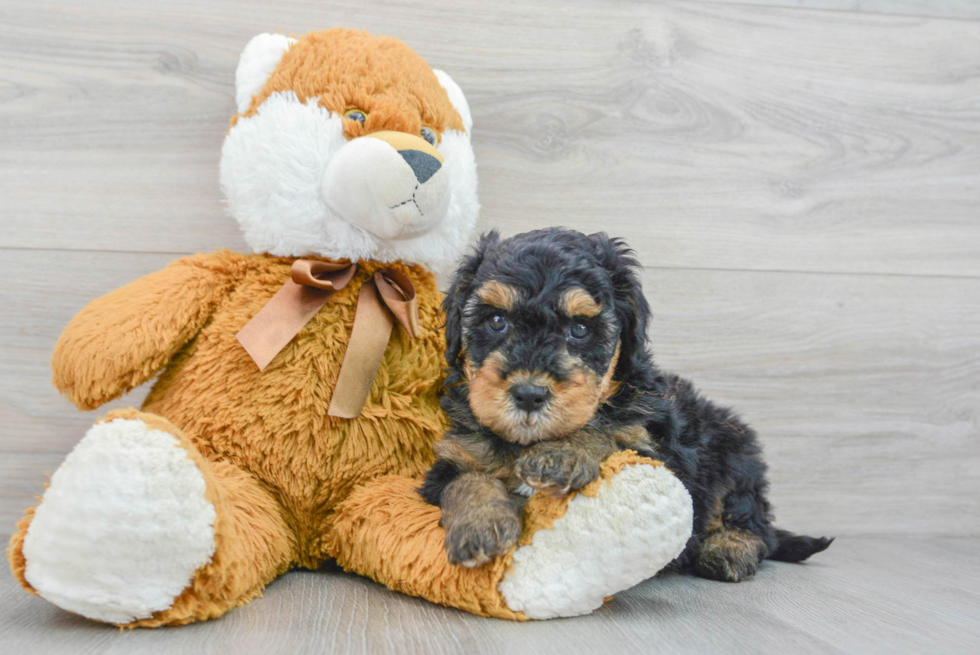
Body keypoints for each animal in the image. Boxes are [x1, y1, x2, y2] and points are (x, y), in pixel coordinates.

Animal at [422, 227, 836, 580]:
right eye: (496, 321)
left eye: (579, 329)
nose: (529, 394)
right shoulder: (454, 456)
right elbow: (465, 480)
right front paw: (480, 525)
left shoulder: (664, 456)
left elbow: (609, 433)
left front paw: (562, 454)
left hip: (735, 455)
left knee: (753, 522)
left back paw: (729, 549)